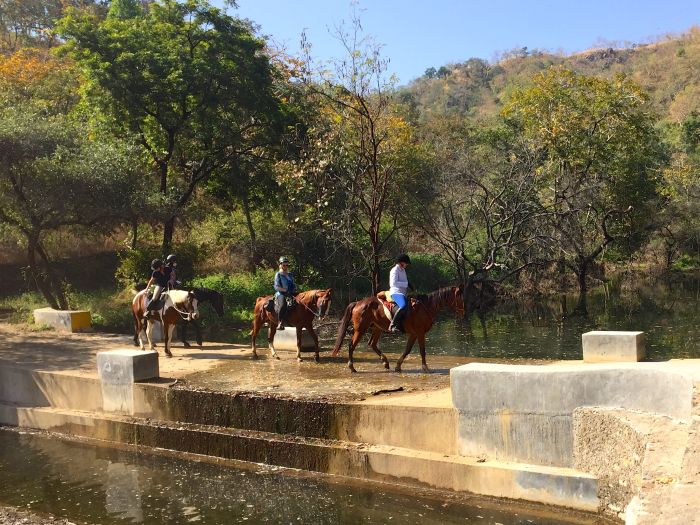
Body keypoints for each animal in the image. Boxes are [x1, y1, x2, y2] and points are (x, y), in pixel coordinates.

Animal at [332, 286, 464, 372]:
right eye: (460, 298)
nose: (463, 313)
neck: (425, 307)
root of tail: (358, 303)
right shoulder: (420, 333)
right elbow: (422, 350)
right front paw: (425, 367)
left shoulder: (414, 334)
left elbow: (407, 350)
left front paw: (398, 366)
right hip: (361, 329)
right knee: (351, 345)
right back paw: (352, 367)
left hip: (377, 328)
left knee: (372, 344)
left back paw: (385, 362)